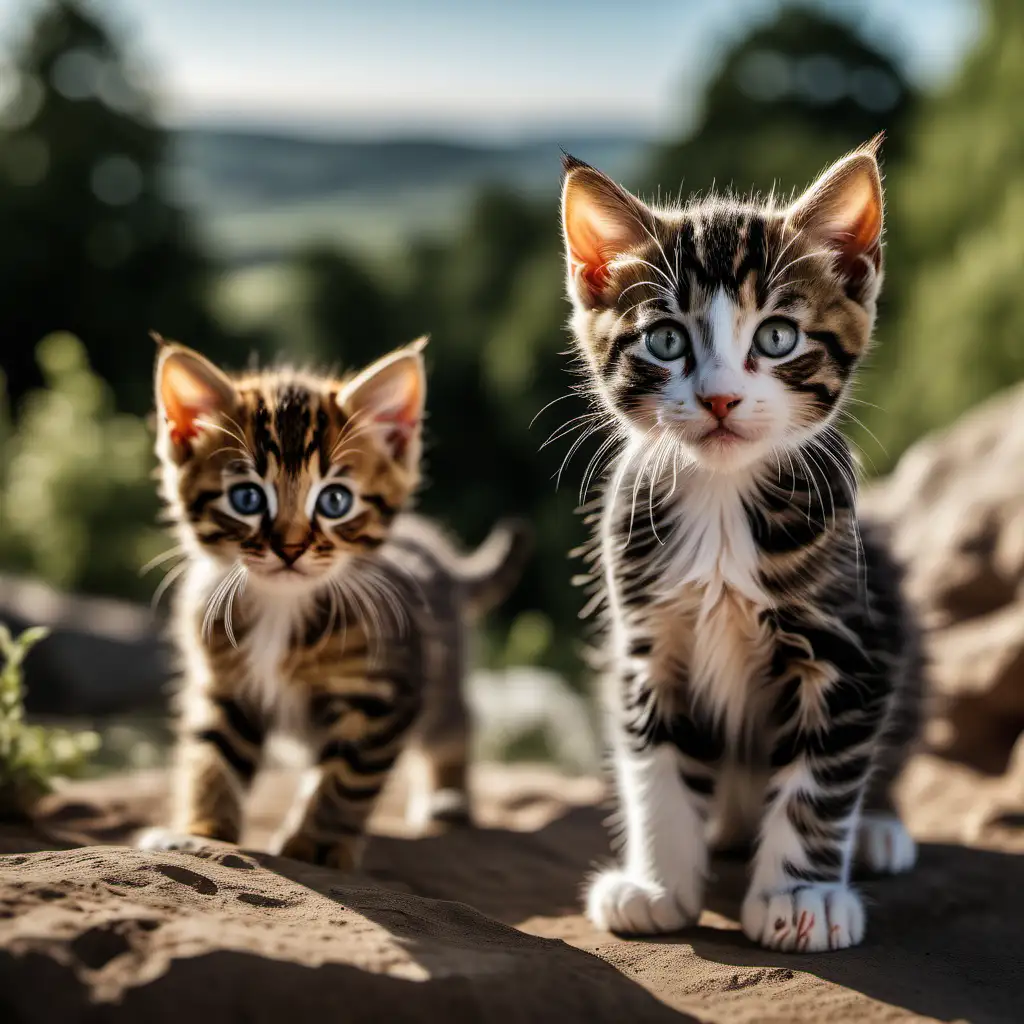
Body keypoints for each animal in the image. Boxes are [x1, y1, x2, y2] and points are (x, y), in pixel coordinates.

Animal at [140, 339, 532, 868]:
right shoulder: (222, 685)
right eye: (246, 498)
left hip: (441, 673)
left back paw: (448, 797)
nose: (289, 548)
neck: (282, 606)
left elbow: (346, 777)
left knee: (457, 722)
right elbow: (211, 758)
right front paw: (199, 833)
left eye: (334, 502)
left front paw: (317, 845)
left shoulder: (386, 694)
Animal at [557, 138, 925, 950]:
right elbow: (656, 763)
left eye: (777, 337)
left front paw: (801, 895)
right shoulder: (646, 641)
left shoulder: (850, 647)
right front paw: (657, 885)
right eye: (665, 340)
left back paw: (878, 828)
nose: (720, 397)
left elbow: (820, 780)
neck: (723, 504)